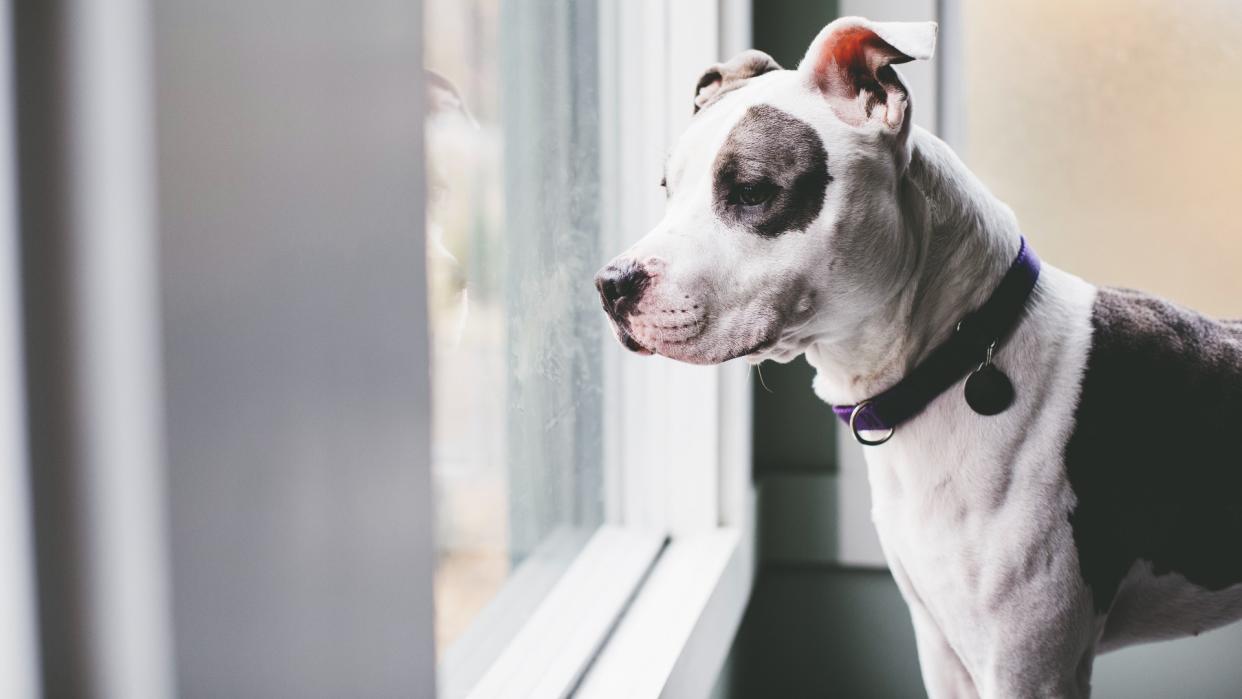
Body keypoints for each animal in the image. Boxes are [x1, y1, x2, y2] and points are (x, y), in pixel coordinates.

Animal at [591, 16, 1242, 699]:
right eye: (667, 189)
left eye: (750, 190)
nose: (610, 284)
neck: (956, 360)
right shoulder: (942, 647)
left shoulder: (1029, 667)